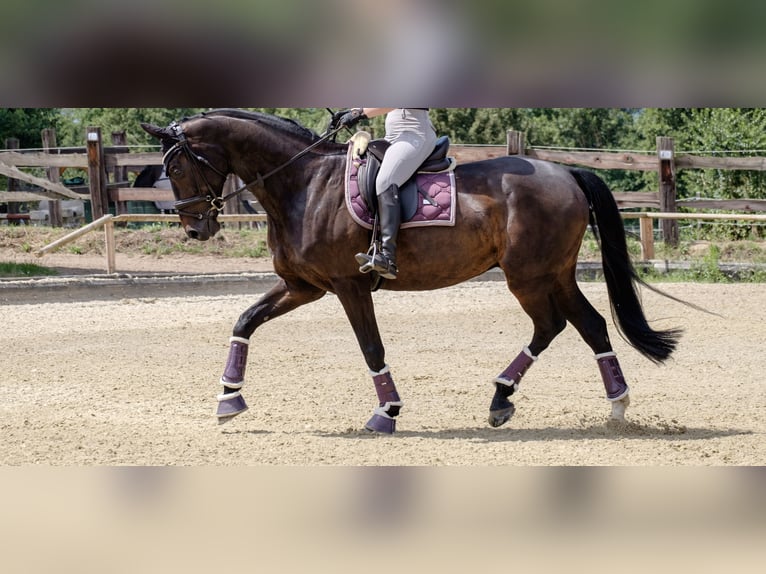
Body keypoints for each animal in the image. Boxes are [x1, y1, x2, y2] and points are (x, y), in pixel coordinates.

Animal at [141, 108, 680, 434]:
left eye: (179, 167)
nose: (195, 229)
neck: (303, 184)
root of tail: (566, 171)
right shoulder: (302, 286)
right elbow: (245, 321)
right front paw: (228, 399)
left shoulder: (348, 286)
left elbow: (371, 347)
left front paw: (386, 412)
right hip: (554, 274)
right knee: (588, 325)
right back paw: (602, 404)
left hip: (529, 276)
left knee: (555, 325)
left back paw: (520, 399)